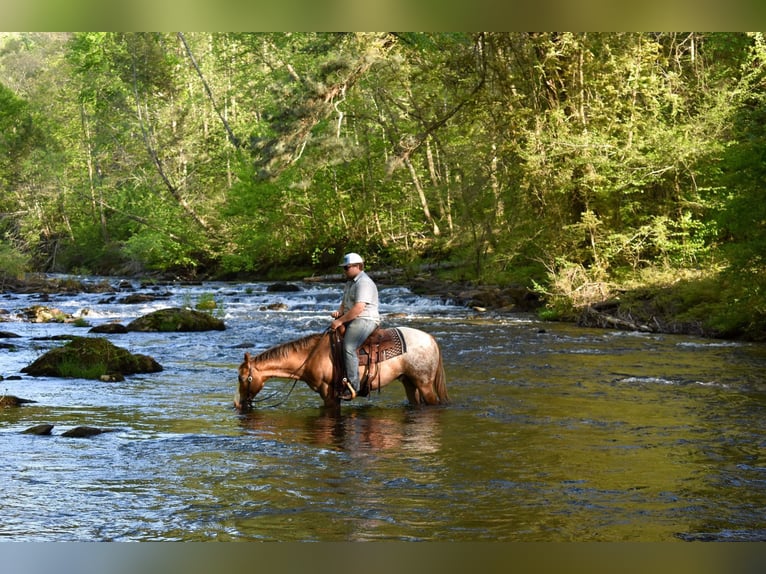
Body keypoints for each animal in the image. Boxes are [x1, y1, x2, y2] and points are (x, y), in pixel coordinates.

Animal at [236, 326, 450, 412]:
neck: (310, 355)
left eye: (241, 378)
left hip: (425, 384)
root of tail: (430, 338)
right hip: (409, 383)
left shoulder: (329, 393)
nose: (239, 404)